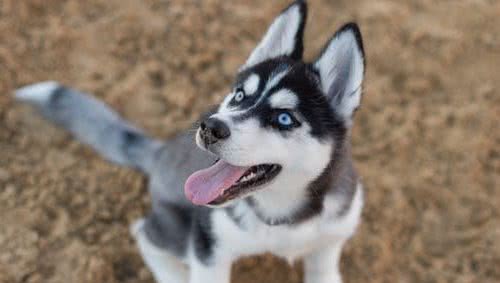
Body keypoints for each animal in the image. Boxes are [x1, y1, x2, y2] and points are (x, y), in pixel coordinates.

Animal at [16, 1, 368, 282]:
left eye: (284, 118)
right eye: (239, 96)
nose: (210, 127)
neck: (284, 217)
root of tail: (162, 152)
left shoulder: (330, 242)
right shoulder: (208, 248)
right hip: (179, 232)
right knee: (143, 231)